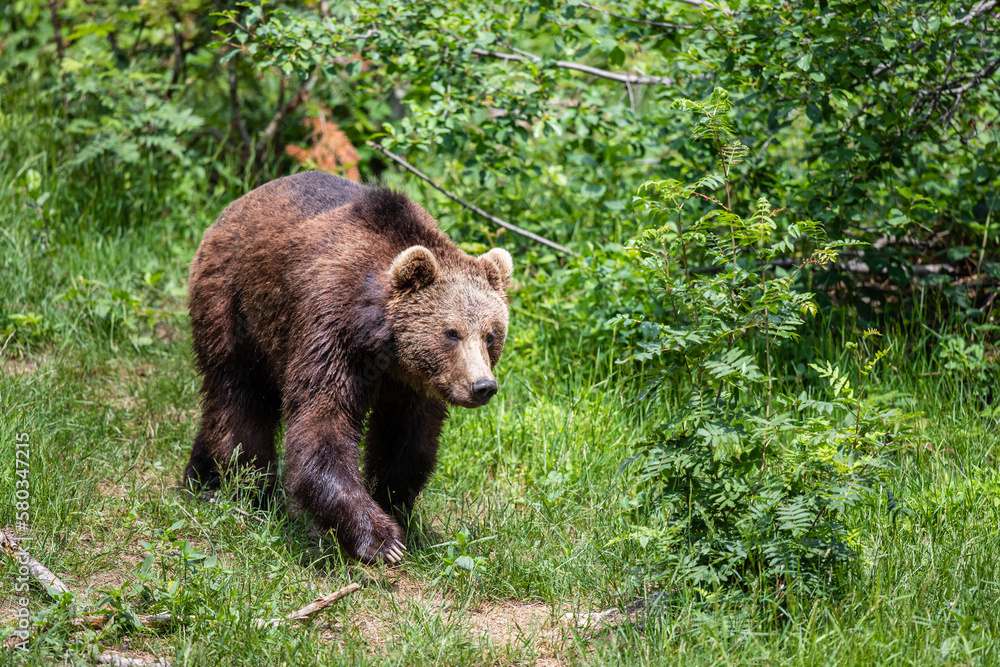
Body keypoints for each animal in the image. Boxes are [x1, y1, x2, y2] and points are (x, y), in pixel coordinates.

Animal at [184, 171, 512, 564]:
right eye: (452, 333)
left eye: (491, 335)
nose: (483, 386)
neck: (384, 346)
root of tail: (236, 204)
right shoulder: (332, 334)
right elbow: (322, 426)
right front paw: (381, 540)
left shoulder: (414, 384)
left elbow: (405, 442)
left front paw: (394, 506)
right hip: (235, 305)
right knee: (238, 396)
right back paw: (246, 487)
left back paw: (200, 475)